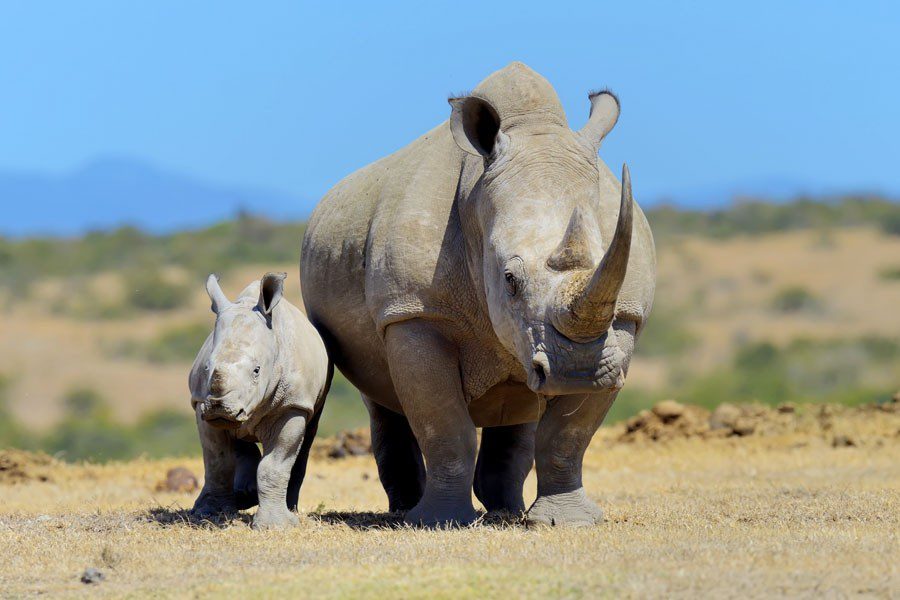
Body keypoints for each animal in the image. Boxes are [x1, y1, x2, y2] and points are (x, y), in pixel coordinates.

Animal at [189, 272, 331, 530]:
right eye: (206, 368)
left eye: (257, 371)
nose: (220, 408)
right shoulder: (200, 403)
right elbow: (217, 461)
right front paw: (210, 514)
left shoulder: (293, 404)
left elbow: (275, 464)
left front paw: (276, 526)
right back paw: (244, 496)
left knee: (306, 439)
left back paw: (289, 509)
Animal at [301, 62, 656, 526]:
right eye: (509, 279)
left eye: (611, 263)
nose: (576, 370)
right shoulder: (415, 312)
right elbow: (445, 426)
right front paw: (438, 522)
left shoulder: (623, 320)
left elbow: (568, 435)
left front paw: (567, 522)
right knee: (381, 397)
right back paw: (406, 512)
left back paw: (507, 511)